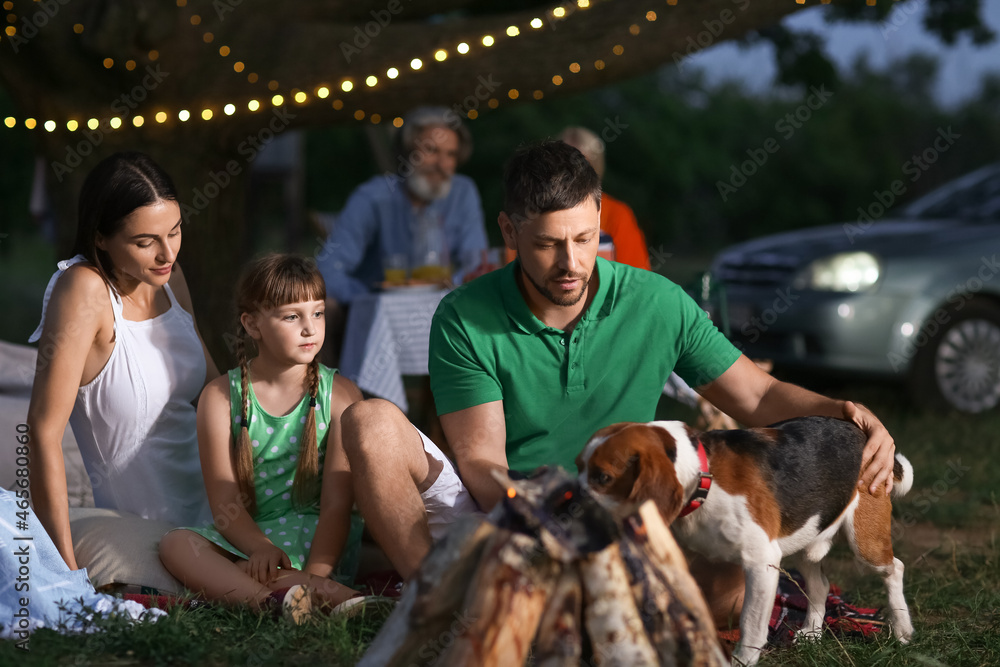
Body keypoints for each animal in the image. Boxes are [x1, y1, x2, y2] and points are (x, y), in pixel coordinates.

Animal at [580, 420, 916, 664]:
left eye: (603, 478)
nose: (569, 498)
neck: (703, 477)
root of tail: (861, 432)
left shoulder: (761, 562)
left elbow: (751, 625)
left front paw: (740, 660)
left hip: (865, 544)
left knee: (895, 568)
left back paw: (902, 630)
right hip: (805, 542)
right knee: (820, 585)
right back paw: (811, 632)